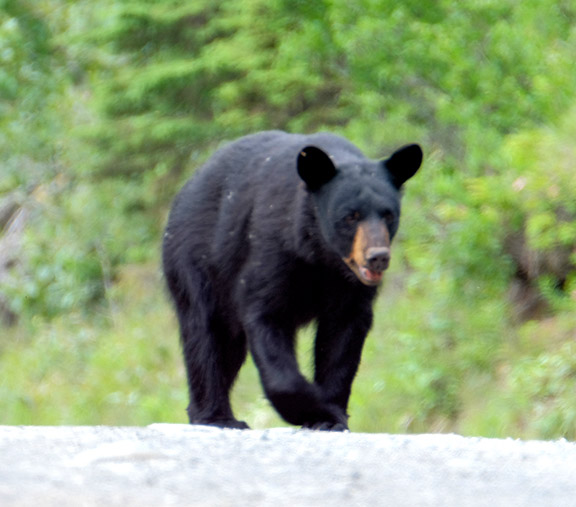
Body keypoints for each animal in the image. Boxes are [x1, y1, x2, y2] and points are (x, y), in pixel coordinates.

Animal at [163, 129, 424, 430]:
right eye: (350, 216)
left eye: (389, 215)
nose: (377, 257)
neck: (320, 256)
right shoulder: (272, 249)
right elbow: (266, 315)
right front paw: (313, 408)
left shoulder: (348, 287)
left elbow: (342, 338)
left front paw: (330, 415)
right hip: (197, 262)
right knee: (206, 334)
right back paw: (216, 417)